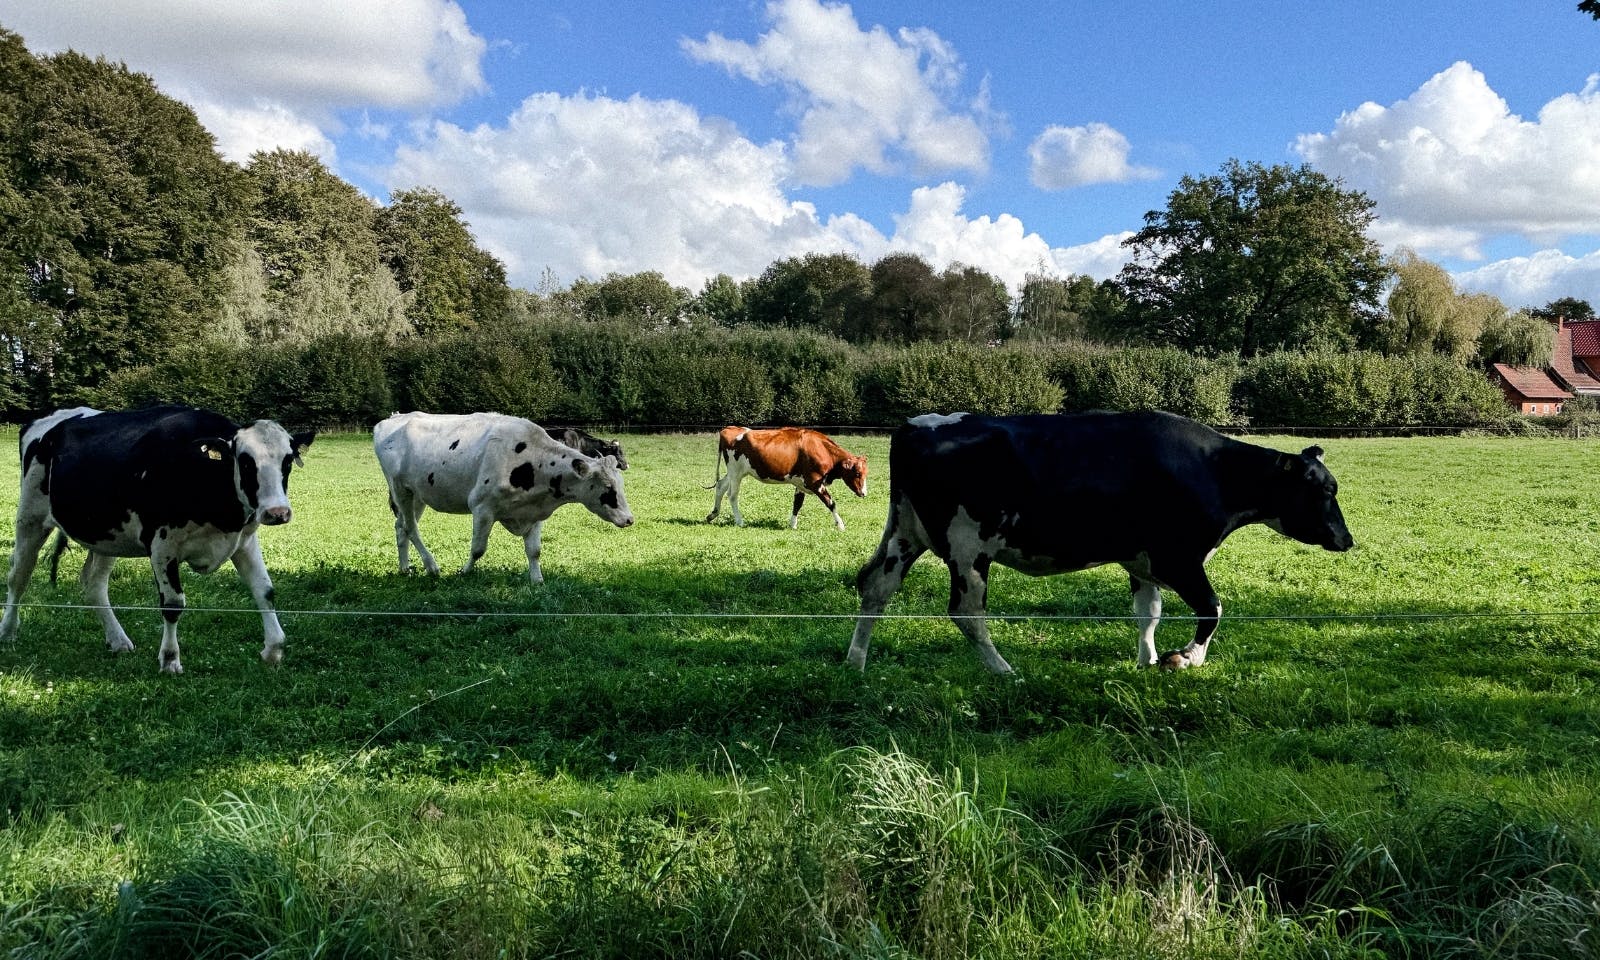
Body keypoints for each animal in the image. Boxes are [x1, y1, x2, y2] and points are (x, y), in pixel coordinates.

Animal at [0, 405, 315, 674]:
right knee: (19, 576)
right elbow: (173, 604)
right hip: (30, 517)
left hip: (106, 536)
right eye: (246, 462)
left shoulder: (243, 540)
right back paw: (8, 631)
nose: (277, 512)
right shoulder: (163, 545)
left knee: (94, 586)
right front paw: (170, 659)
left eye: (287, 461)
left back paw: (118, 640)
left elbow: (265, 591)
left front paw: (273, 650)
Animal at [373, 411, 633, 584]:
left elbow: (534, 550)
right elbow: (478, 549)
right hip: (400, 489)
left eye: (621, 484)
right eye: (608, 487)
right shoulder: (482, 508)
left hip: (417, 494)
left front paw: (538, 582)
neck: (532, 462)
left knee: (401, 527)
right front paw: (464, 572)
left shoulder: (534, 512)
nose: (629, 519)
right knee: (410, 528)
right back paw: (432, 566)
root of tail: (391, 419)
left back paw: (405, 569)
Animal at [705, 426, 868, 530]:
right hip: (736, 472)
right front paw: (840, 525)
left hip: (733, 473)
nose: (864, 493)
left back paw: (712, 514)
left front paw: (793, 525)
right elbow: (831, 503)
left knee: (720, 486)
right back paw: (739, 521)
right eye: (858, 473)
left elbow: (797, 503)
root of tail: (730, 429)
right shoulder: (814, 482)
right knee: (732, 495)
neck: (822, 449)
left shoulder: (801, 483)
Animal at [847, 410, 1353, 674]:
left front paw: (1147, 660)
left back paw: (856, 661)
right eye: (1324, 491)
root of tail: (918, 424)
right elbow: (1212, 607)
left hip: (904, 534)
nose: (1347, 539)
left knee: (874, 587)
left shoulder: (1142, 561)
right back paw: (1003, 669)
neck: (1214, 470)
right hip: (969, 547)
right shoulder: (1178, 558)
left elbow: (1149, 614)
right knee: (966, 612)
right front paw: (1186, 658)